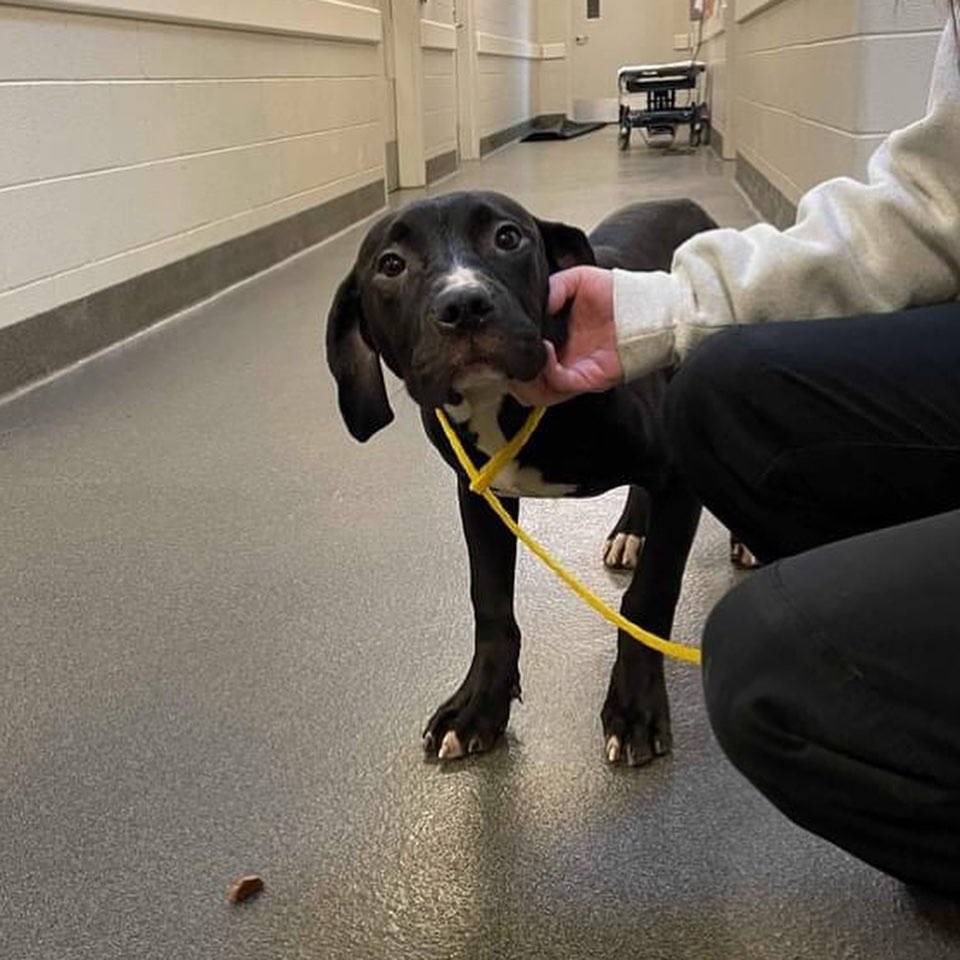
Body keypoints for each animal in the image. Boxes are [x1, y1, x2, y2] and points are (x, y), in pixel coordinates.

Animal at [326, 191, 716, 768]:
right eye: (391, 265)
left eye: (507, 237)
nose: (464, 306)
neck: (502, 401)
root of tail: (684, 200)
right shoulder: (479, 495)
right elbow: (489, 602)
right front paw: (479, 705)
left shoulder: (677, 476)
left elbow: (650, 597)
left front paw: (635, 707)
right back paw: (631, 531)